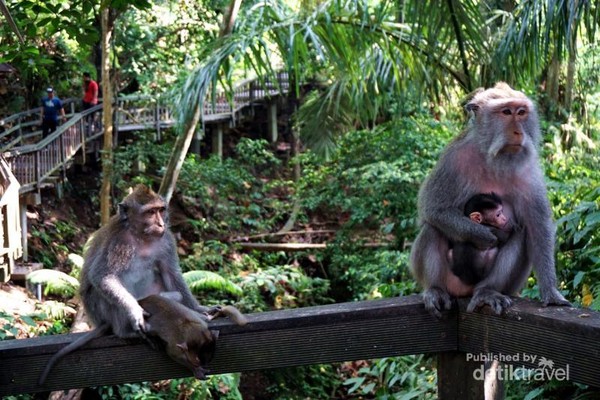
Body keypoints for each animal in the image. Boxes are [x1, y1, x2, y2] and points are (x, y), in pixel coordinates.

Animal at [38, 184, 214, 384]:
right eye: (150, 212)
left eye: (161, 210)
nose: (161, 224)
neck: (141, 236)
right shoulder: (118, 242)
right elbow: (103, 277)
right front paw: (135, 311)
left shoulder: (166, 240)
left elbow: (171, 274)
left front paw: (200, 309)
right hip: (99, 310)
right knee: (105, 293)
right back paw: (126, 332)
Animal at [408, 83, 572, 318]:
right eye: (506, 112)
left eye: (521, 112)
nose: (518, 132)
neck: (494, 158)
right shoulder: (453, 159)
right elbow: (433, 209)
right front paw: (484, 235)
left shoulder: (529, 170)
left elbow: (537, 228)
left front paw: (551, 292)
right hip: (449, 279)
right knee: (433, 229)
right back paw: (435, 289)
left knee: (520, 235)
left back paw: (487, 291)